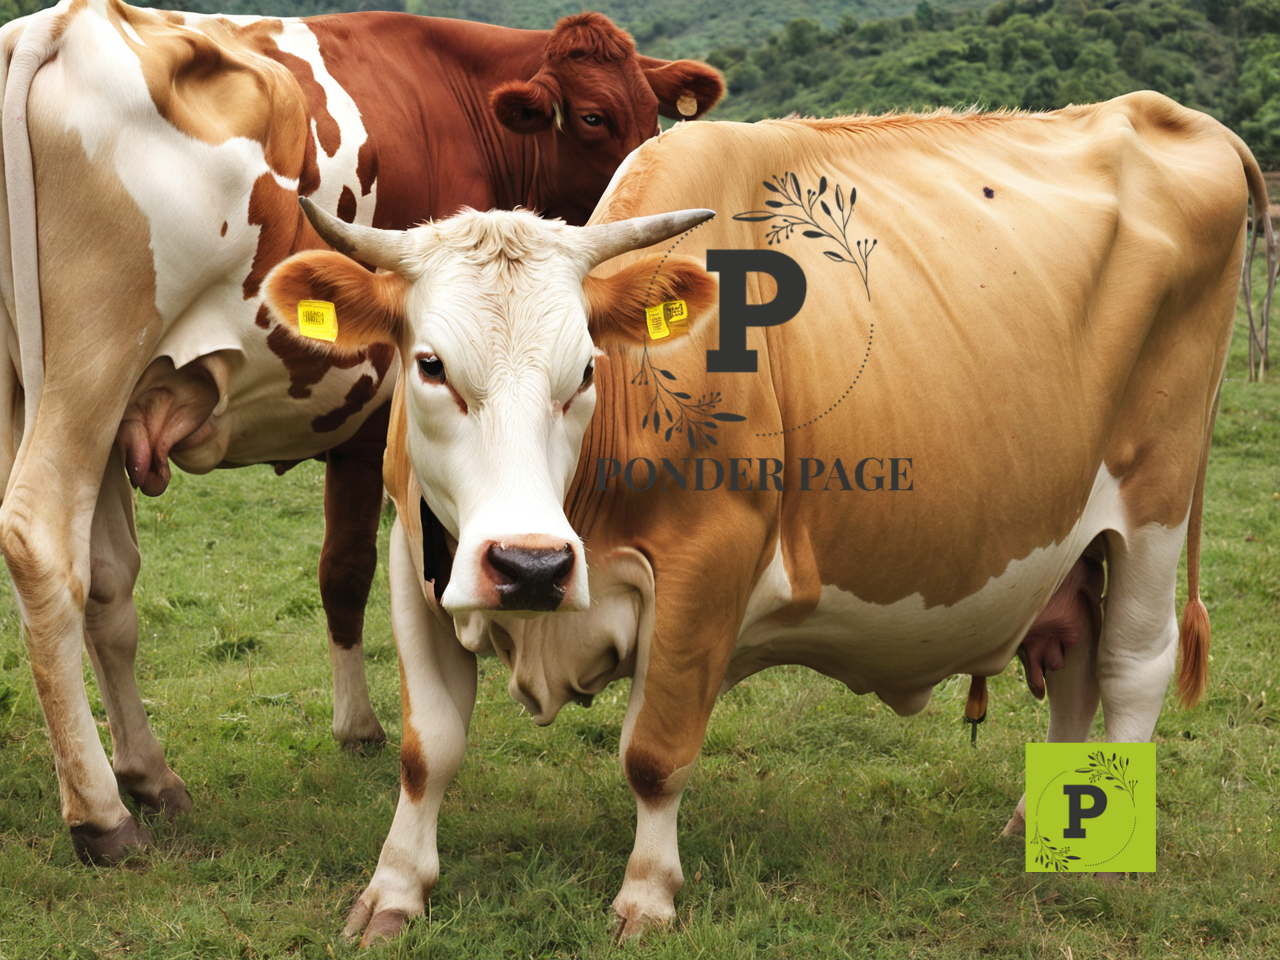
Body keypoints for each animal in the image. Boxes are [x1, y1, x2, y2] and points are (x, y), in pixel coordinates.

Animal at [0, 0, 723, 864]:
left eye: (653, 113)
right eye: (591, 116)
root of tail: (64, 24)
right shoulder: (373, 412)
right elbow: (347, 570)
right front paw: (360, 728)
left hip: (50, 396)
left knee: (104, 580)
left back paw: (146, 774)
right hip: (91, 368)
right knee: (40, 539)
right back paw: (101, 816)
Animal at [275, 90, 1270, 942]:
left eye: (587, 370)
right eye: (431, 365)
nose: (531, 566)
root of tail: (1167, 113)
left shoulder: (709, 562)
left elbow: (655, 751)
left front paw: (647, 895)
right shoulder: (417, 556)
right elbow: (428, 750)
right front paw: (394, 891)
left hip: (1154, 503)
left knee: (1133, 667)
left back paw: (1108, 856)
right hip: (1070, 542)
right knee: (1074, 662)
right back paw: (1049, 820)